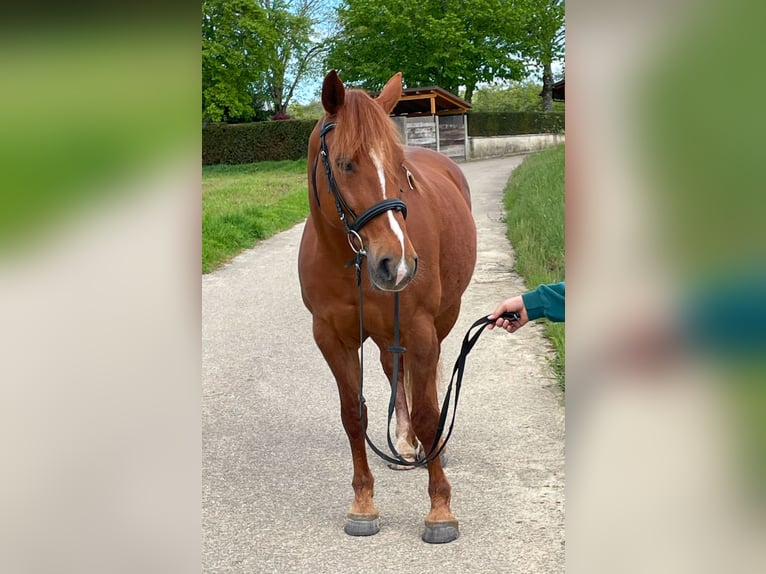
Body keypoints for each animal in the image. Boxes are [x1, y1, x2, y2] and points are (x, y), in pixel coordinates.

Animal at [298, 71, 474, 544]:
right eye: (345, 164)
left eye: (400, 170)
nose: (397, 263)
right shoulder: (331, 338)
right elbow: (352, 415)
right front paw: (362, 503)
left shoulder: (419, 328)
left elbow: (430, 412)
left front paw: (440, 510)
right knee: (394, 370)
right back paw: (404, 442)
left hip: (440, 320)